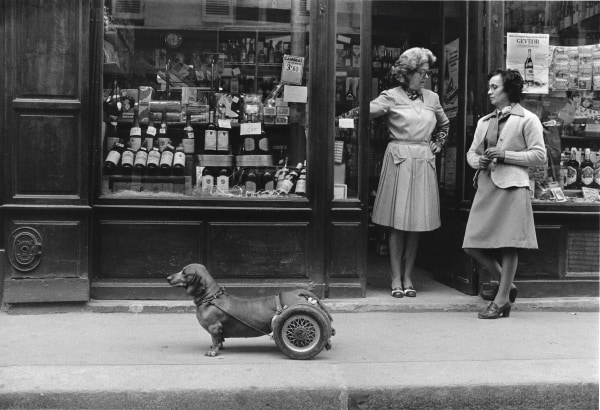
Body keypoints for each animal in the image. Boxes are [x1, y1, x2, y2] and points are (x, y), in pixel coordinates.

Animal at [165, 264, 332, 358]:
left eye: (184, 272)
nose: (167, 278)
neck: (211, 297)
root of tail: (297, 292)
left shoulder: (214, 327)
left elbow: (215, 339)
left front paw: (213, 351)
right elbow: (218, 340)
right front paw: (217, 346)